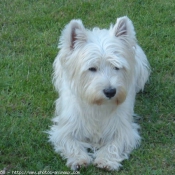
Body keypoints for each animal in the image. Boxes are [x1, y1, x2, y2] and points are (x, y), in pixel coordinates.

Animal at [48, 16, 150, 171]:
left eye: (117, 67)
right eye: (92, 68)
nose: (110, 91)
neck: (98, 104)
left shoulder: (123, 128)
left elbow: (115, 144)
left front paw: (106, 160)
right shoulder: (65, 128)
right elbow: (71, 143)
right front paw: (79, 159)